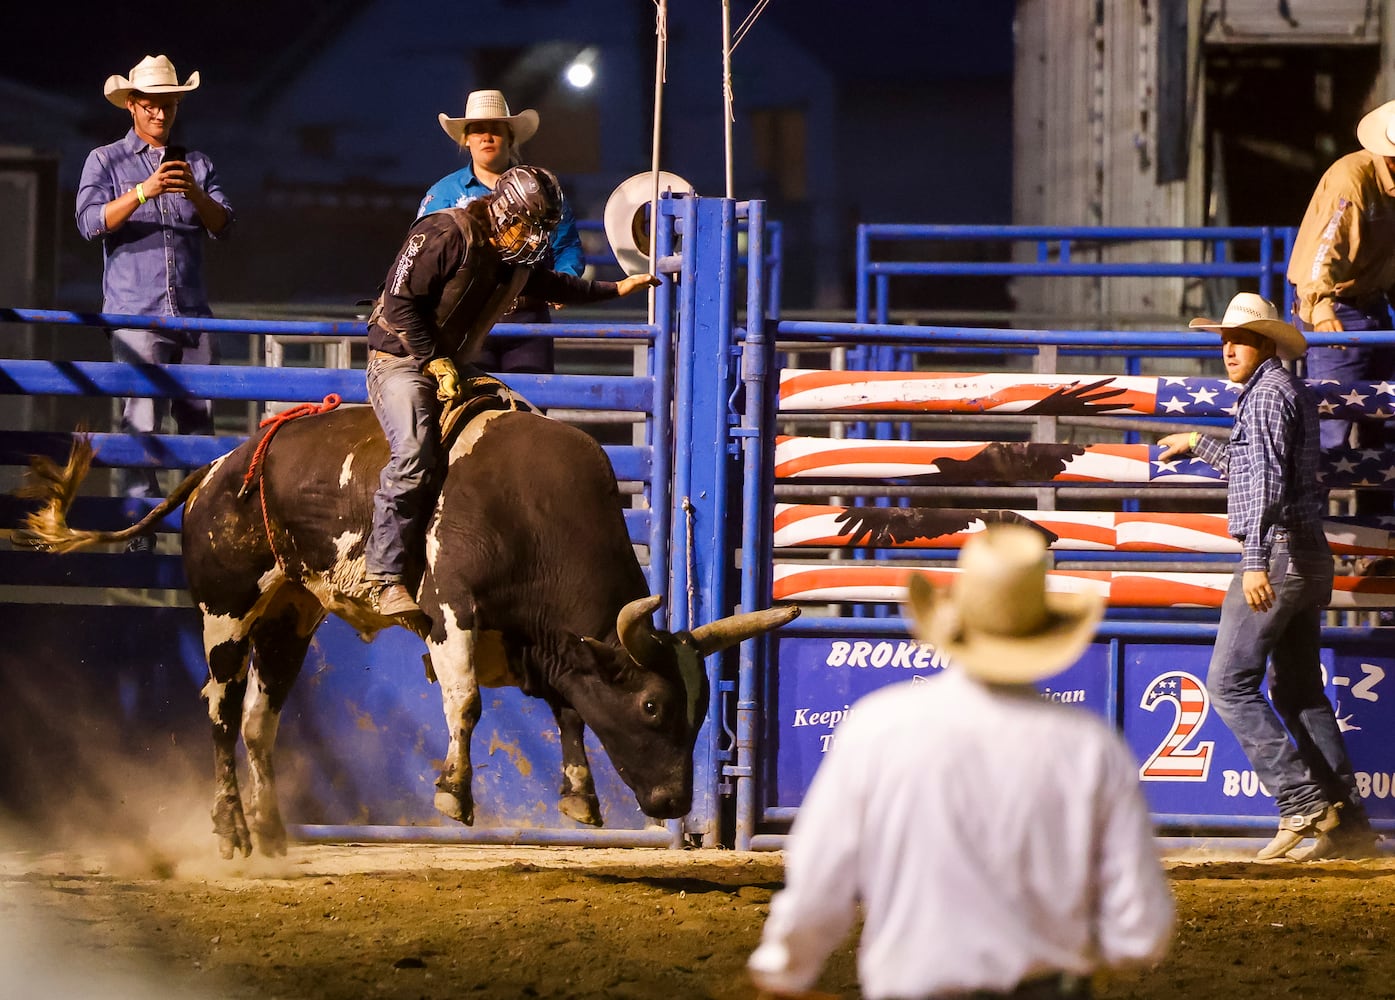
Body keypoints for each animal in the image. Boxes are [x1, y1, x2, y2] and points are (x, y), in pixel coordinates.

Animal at [19, 401, 797, 853]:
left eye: (698, 710)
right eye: (654, 705)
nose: (673, 801)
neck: (533, 510)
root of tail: (215, 469)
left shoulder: (541, 644)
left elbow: (569, 709)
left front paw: (579, 795)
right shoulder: (452, 610)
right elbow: (466, 700)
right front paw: (454, 791)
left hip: (289, 621)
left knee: (260, 722)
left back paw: (271, 830)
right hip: (225, 614)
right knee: (219, 713)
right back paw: (232, 829)